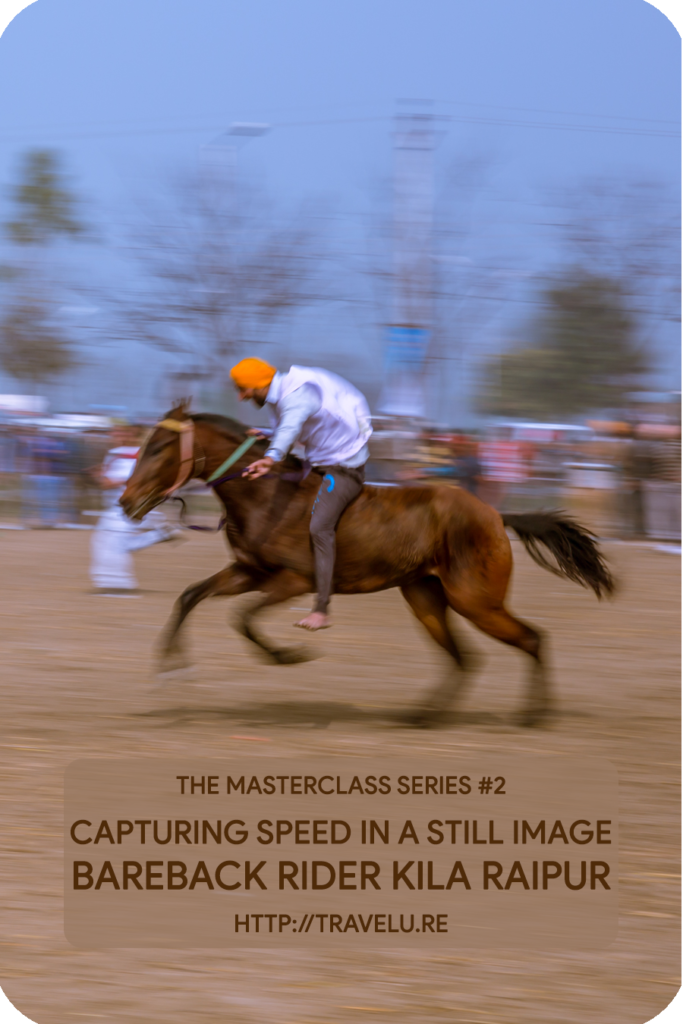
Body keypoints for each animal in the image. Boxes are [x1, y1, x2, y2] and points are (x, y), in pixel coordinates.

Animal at [120, 401, 618, 729]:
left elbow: (242, 618)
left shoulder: (294, 580)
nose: (125, 501)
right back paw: (422, 715)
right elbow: (191, 597)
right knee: (465, 657)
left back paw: (532, 715)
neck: (265, 497)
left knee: (531, 639)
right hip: (425, 596)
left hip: (476, 601)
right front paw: (171, 668)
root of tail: (496, 515)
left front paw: (290, 654)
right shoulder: (250, 573)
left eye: (160, 447)